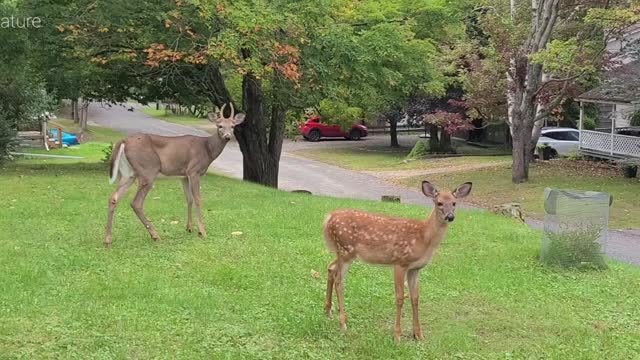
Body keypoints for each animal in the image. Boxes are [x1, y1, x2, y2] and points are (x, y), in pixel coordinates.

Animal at [105, 102, 245, 246]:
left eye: (233, 126)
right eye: (220, 125)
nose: (227, 136)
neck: (207, 150)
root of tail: (124, 141)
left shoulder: (184, 175)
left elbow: (189, 199)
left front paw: (189, 228)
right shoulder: (194, 171)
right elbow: (197, 199)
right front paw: (202, 231)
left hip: (128, 173)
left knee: (113, 198)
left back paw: (108, 239)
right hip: (148, 170)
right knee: (136, 202)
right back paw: (155, 235)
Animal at [322, 181, 472, 342]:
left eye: (454, 203)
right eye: (439, 203)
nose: (450, 216)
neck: (424, 238)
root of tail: (329, 217)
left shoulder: (415, 268)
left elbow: (415, 298)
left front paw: (418, 335)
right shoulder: (400, 262)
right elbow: (400, 297)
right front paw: (397, 336)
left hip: (344, 252)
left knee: (330, 268)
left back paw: (328, 311)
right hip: (345, 249)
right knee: (339, 280)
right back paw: (343, 323)